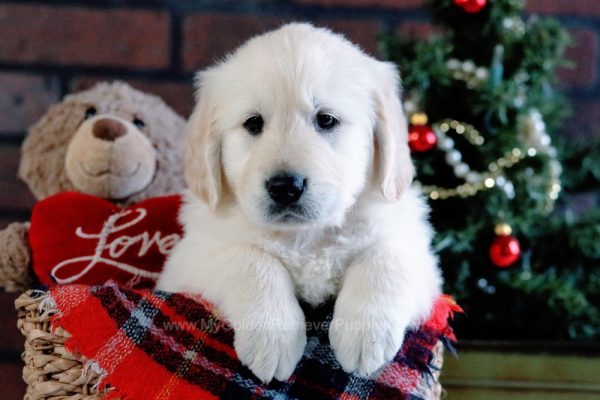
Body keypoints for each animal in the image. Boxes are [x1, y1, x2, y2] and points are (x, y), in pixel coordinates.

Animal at [157, 22, 442, 384]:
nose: (285, 187)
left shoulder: (417, 254)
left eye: (326, 120)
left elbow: (385, 258)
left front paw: (366, 334)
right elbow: (251, 260)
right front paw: (272, 338)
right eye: (253, 123)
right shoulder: (191, 258)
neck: (305, 236)